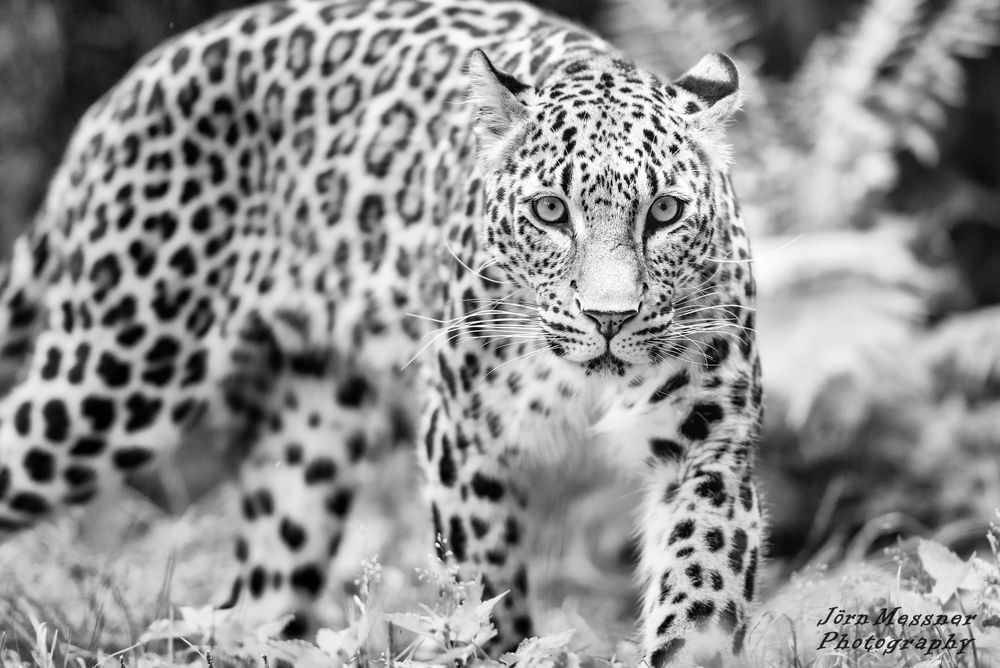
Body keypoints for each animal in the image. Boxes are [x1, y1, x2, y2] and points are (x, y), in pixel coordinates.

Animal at [0, 0, 760, 664]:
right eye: (550, 211)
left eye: (664, 211)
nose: (610, 318)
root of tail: (129, 85)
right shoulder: (464, 437)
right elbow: (484, 598)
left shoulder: (707, 446)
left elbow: (701, 594)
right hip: (115, 378)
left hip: (308, 441)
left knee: (246, 608)